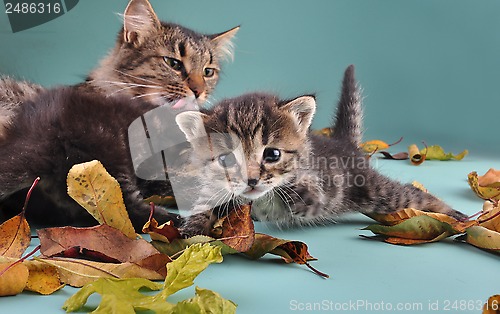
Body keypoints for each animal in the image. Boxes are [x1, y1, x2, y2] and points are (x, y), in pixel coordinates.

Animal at [176, 64, 468, 236]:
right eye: (225, 159)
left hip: (374, 191)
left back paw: (458, 217)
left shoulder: (318, 193)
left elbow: (302, 193)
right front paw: (191, 231)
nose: (251, 180)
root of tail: (346, 144)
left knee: (412, 194)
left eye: (272, 155)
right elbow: (204, 204)